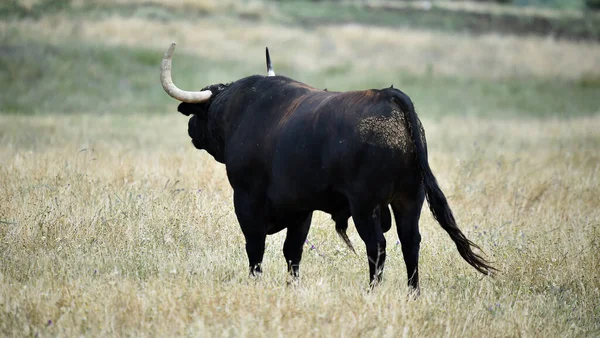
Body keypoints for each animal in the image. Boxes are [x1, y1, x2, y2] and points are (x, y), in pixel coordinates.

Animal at [158, 42, 492, 290]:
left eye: (201, 113)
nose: (190, 128)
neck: (239, 111)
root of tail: (388, 96)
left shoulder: (246, 200)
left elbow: (256, 247)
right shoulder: (301, 209)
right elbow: (292, 251)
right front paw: (291, 287)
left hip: (365, 206)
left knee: (377, 246)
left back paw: (372, 291)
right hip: (409, 199)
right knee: (411, 243)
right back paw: (413, 293)